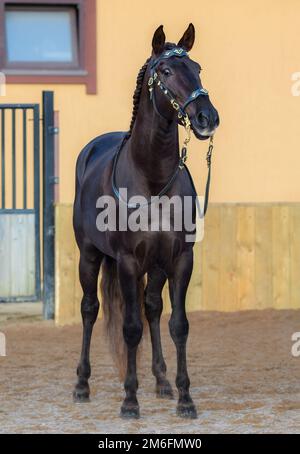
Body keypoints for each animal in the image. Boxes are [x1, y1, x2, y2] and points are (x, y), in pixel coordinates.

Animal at [72, 24, 218, 418]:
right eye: (165, 71)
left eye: (198, 67)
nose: (207, 118)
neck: (151, 180)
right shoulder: (127, 261)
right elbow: (130, 328)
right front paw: (129, 401)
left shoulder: (180, 259)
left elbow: (177, 325)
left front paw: (185, 398)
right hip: (89, 256)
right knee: (90, 310)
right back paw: (81, 385)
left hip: (155, 267)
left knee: (152, 308)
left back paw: (162, 381)